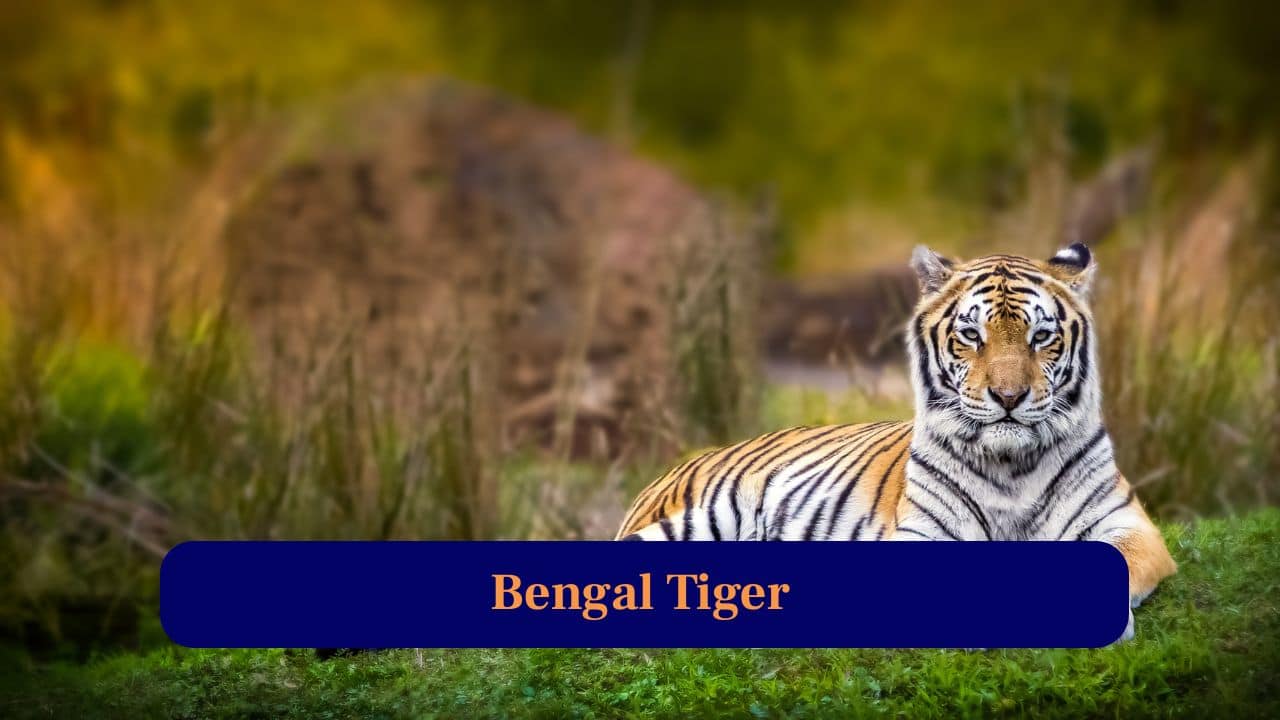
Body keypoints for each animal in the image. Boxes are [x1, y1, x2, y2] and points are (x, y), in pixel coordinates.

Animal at [615, 243, 1176, 640]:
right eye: (971, 336)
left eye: (1041, 337)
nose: (1008, 396)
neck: (1010, 465)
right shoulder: (922, 536)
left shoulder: (1129, 526)